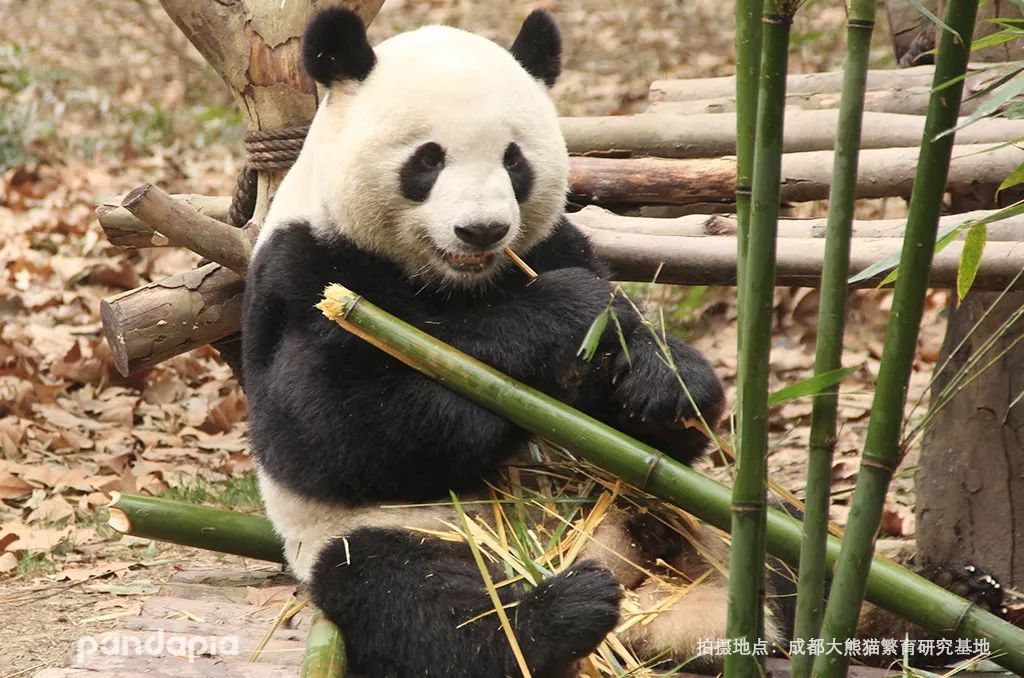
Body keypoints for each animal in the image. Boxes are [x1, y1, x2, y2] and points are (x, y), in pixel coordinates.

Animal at [237, 6, 1007, 678]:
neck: (460, 282)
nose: (483, 230)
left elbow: (657, 403)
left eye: (514, 161)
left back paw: (938, 611)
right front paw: (559, 319)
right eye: (427, 161)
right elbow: (329, 426)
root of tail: (655, 611)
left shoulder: (554, 240)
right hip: (408, 531)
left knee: (798, 556)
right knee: (422, 598)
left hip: (710, 516)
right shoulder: (306, 271)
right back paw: (562, 613)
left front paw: (660, 382)